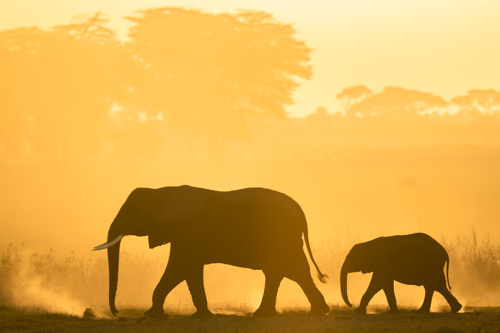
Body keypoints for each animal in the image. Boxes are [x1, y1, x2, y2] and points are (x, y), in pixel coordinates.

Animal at [93, 185, 330, 318]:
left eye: (132, 212)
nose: (116, 312)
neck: (161, 192)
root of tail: (299, 209)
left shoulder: (189, 231)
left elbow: (179, 267)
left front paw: (152, 315)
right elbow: (191, 271)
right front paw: (202, 316)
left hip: (283, 235)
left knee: (292, 271)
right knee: (285, 272)